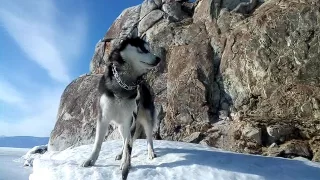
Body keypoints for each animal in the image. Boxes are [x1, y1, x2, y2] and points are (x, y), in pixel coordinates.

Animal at [82, 37, 160, 180]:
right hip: (121, 126)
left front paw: (126, 164)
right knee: (126, 141)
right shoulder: (103, 117)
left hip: (144, 119)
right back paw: (121, 153)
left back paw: (150, 152)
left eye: (149, 49)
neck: (123, 84)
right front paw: (91, 160)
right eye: (142, 49)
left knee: (148, 138)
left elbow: (129, 144)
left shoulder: (129, 119)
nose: (158, 59)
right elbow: (98, 143)